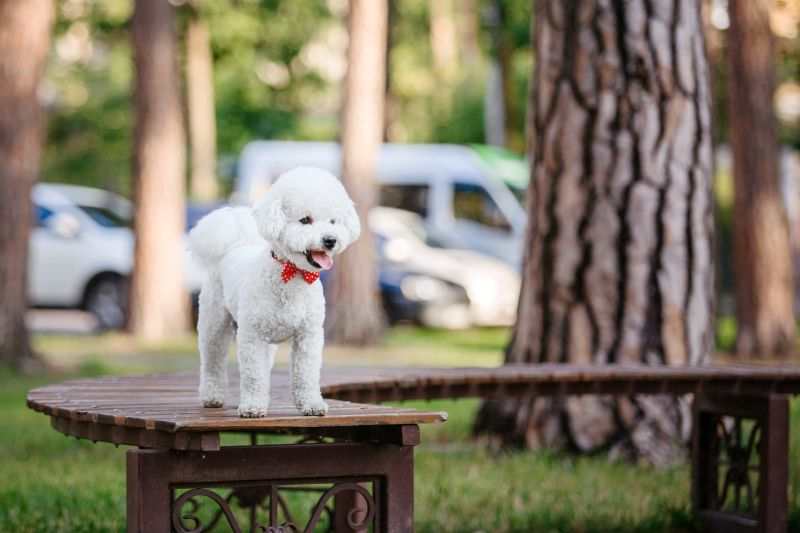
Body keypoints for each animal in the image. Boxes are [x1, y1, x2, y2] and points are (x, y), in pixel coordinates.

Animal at [188, 168, 360, 418]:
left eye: (333, 221)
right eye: (305, 220)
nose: (330, 240)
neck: (292, 277)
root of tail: (235, 246)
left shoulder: (308, 335)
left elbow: (306, 374)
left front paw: (311, 404)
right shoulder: (252, 337)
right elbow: (253, 375)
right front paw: (252, 407)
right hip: (214, 324)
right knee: (213, 360)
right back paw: (212, 396)